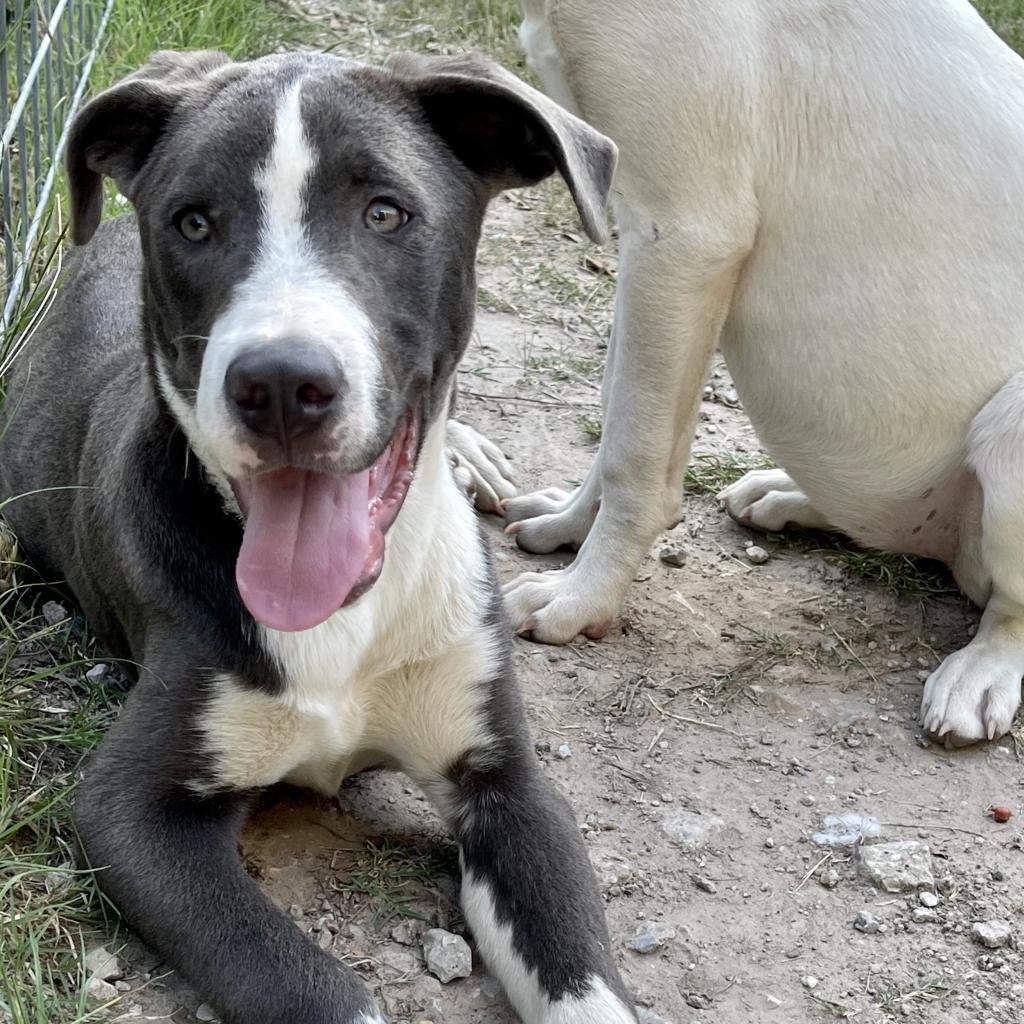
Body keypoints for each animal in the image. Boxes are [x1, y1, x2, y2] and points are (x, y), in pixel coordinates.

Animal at [0, 49, 634, 1024]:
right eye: (193, 222)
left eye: (386, 212)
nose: (281, 385)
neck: (346, 620)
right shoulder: (133, 813)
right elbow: (323, 993)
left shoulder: (509, 787)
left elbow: (585, 984)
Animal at [499, 0, 1024, 745]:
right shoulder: (641, 229)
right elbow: (616, 413)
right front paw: (569, 523)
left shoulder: (684, 233)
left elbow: (634, 455)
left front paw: (581, 597)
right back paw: (786, 496)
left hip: (1012, 429)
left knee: (1009, 608)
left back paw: (981, 670)